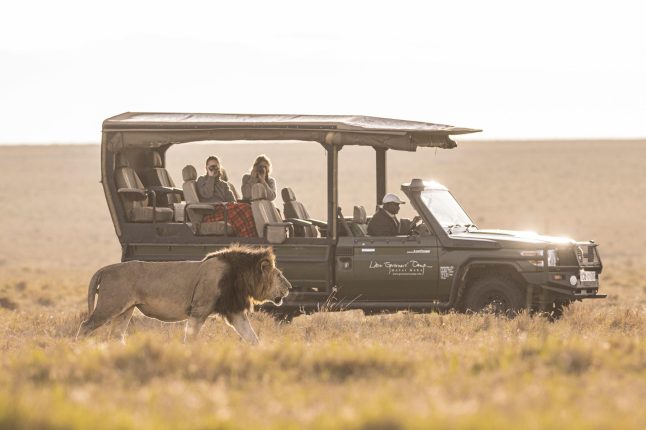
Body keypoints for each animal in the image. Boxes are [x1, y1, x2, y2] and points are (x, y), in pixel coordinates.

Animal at [74, 245, 292, 342]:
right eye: (279, 274)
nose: (289, 287)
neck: (240, 275)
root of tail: (105, 269)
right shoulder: (199, 310)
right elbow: (191, 336)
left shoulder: (234, 311)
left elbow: (252, 337)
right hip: (109, 306)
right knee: (85, 325)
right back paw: (78, 348)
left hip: (125, 311)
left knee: (116, 335)